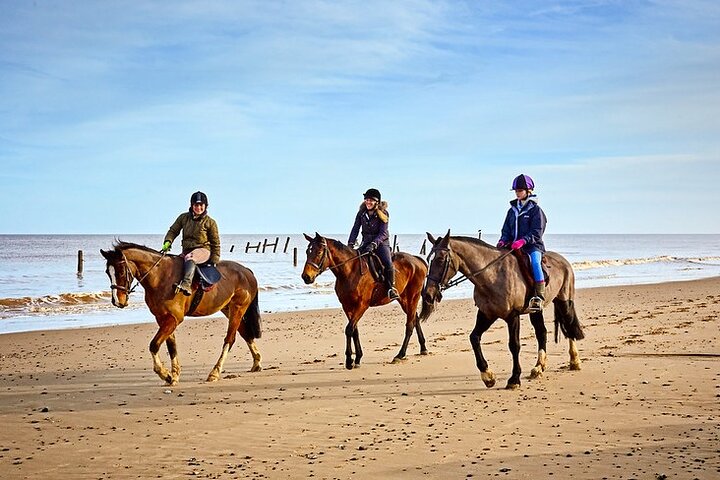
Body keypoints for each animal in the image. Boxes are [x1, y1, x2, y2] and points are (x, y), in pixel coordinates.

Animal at [100, 242, 260, 384]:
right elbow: (171, 347)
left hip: (238, 308)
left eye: (121, 271)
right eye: (107, 272)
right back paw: (256, 362)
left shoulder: (174, 318)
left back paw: (215, 373)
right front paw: (174, 375)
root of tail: (246, 271)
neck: (160, 277)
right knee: (245, 332)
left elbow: (154, 345)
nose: (117, 301)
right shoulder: (162, 318)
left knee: (230, 339)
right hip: (228, 309)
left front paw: (165, 375)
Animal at [298, 232, 434, 368]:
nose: (306, 277)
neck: (349, 271)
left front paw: (349, 360)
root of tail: (417, 260)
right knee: (415, 319)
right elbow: (354, 330)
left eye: (319, 252)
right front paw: (357, 358)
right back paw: (423, 348)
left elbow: (349, 329)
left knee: (410, 325)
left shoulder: (362, 305)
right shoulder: (347, 306)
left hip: (412, 297)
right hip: (404, 299)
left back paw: (400, 355)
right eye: (307, 251)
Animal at [422, 230, 584, 390]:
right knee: (541, 332)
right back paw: (539, 367)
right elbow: (474, 338)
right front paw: (488, 376)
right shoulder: (486, 314)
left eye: (441, 259)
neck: (492, 275)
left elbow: (514, 345)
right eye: (429, 260)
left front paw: (514, 379)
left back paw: (574, 361)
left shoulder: (512, 316)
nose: (428, 294)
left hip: (564, 301)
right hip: (536, 310)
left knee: (569, 325)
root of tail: (563, 260)